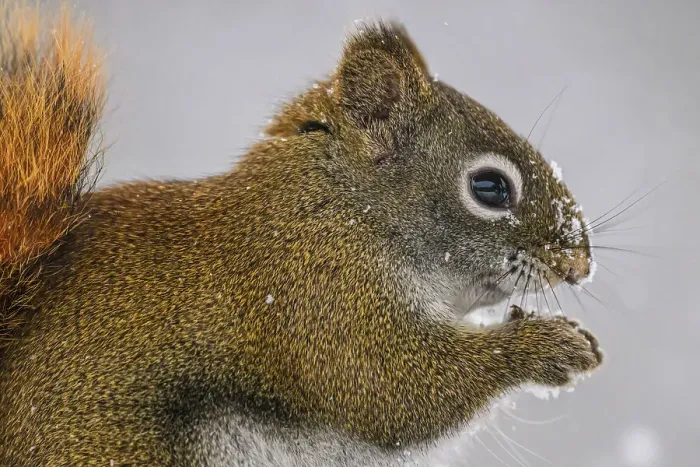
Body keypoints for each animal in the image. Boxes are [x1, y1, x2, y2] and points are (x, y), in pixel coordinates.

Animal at [0, 3, 603, 466]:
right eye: (490, 188)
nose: (578, 264)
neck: (346, 209)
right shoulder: (316, 294)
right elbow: (394, 388)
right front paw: (548, 346)